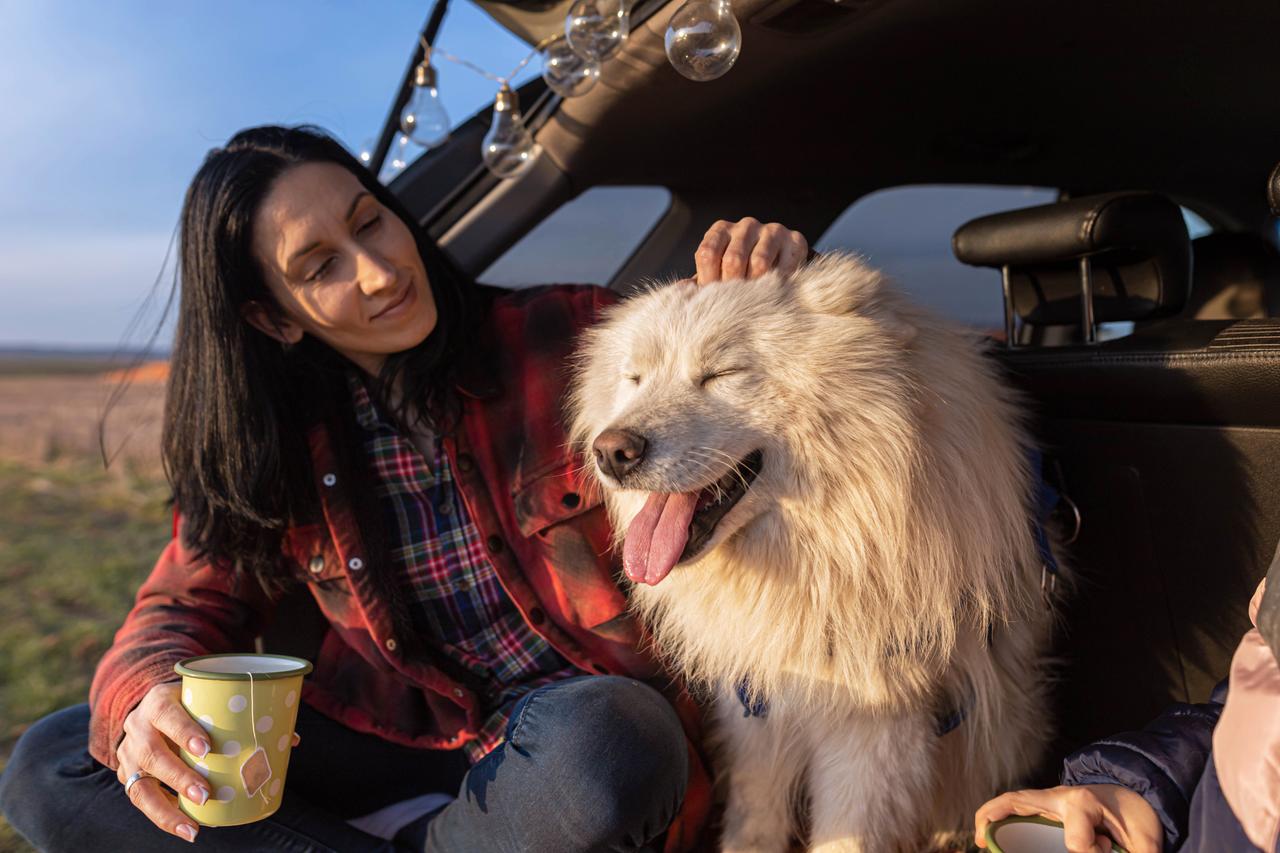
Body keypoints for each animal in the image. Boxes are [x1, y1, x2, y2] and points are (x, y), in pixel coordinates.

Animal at [570, 253, 1059, 850]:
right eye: (634, 379)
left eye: (721, 374)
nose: (612, 452)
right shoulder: (758, 708)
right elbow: (754, 821)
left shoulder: (876, 727)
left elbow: (844, 835)